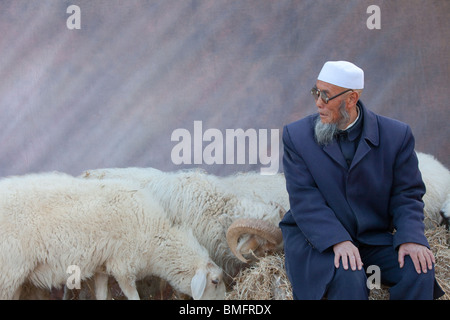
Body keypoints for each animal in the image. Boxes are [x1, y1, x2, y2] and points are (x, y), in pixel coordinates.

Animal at [0, 172, 225, 300]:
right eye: (215, 281)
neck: (156, 236)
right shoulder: (123, 266)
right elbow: (133, 297)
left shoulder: (102, 266)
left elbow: (102, 294)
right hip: (9, 274)